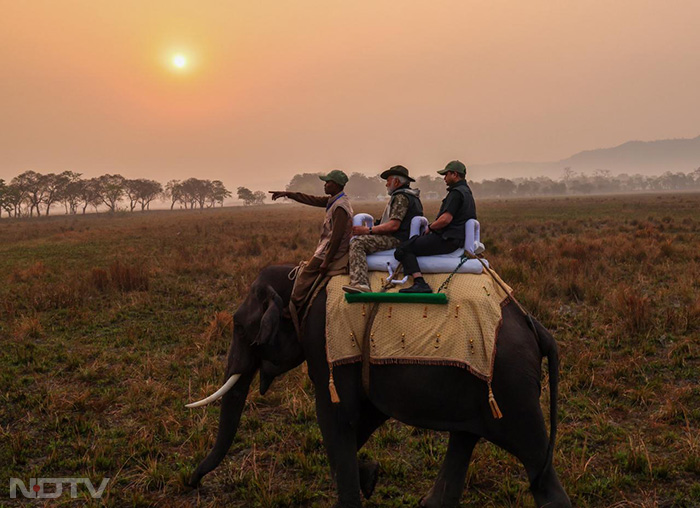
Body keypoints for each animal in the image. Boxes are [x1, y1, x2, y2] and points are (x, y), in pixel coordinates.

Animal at [185, 266, 568, 508]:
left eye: (238, 326)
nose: (192, 483)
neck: (301, 278)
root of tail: (535, 326)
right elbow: (362, 418)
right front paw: (370, 477)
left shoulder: (324, 343)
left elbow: (337, 418)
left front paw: (361, 484)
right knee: (465, 437)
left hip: (511, 386)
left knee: (535, 458)